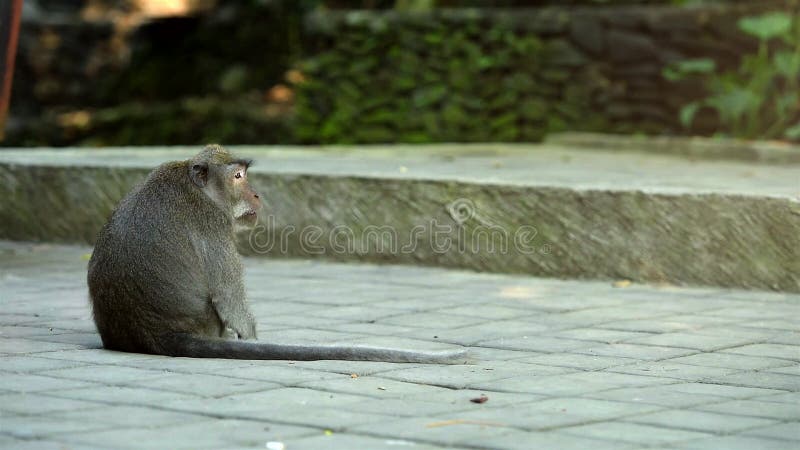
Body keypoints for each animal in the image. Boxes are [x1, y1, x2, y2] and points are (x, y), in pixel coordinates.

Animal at [86, 146, 468, 364]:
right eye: (238, 176)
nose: (256, 195)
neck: (196, 187)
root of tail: (157, 335)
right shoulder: (212, 223)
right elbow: (229, 297)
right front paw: (252, 340)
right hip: (207, 323)